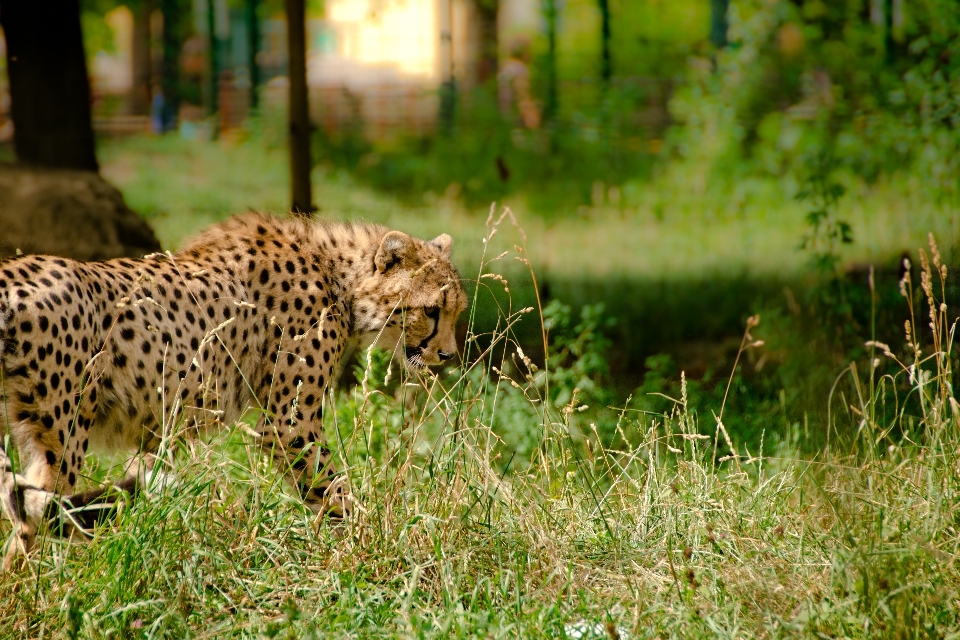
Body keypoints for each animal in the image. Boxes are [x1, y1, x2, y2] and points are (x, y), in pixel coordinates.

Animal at [0, 212, 466, 568]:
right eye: (431, 310)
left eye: (457, 311)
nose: (449, 355)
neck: (339, 277)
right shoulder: (289, 425)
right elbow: (333, 488)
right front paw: (371, 540)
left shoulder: (161, 426)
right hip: (64, 435)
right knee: (30, 525)